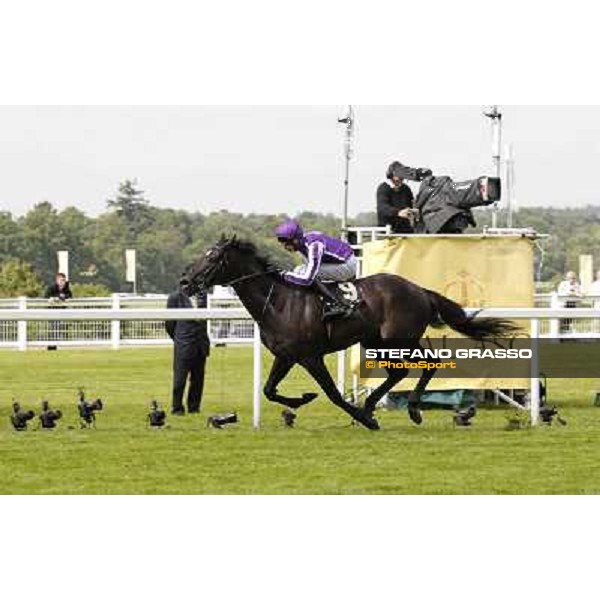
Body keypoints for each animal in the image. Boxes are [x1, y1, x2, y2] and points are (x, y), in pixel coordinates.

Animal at [188, 237, 516, 428]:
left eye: (213, 258)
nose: (185, 281)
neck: (278, 301)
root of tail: (419, 290)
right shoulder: (286, 356)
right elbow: (269, 390)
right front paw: (302, 399)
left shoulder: (311, 356)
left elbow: (333, 393)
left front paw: (361, 418)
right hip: (379, 342)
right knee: (402, 371)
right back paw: (378, 406)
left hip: (398, 339)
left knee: (426, 364)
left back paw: (404, 409)